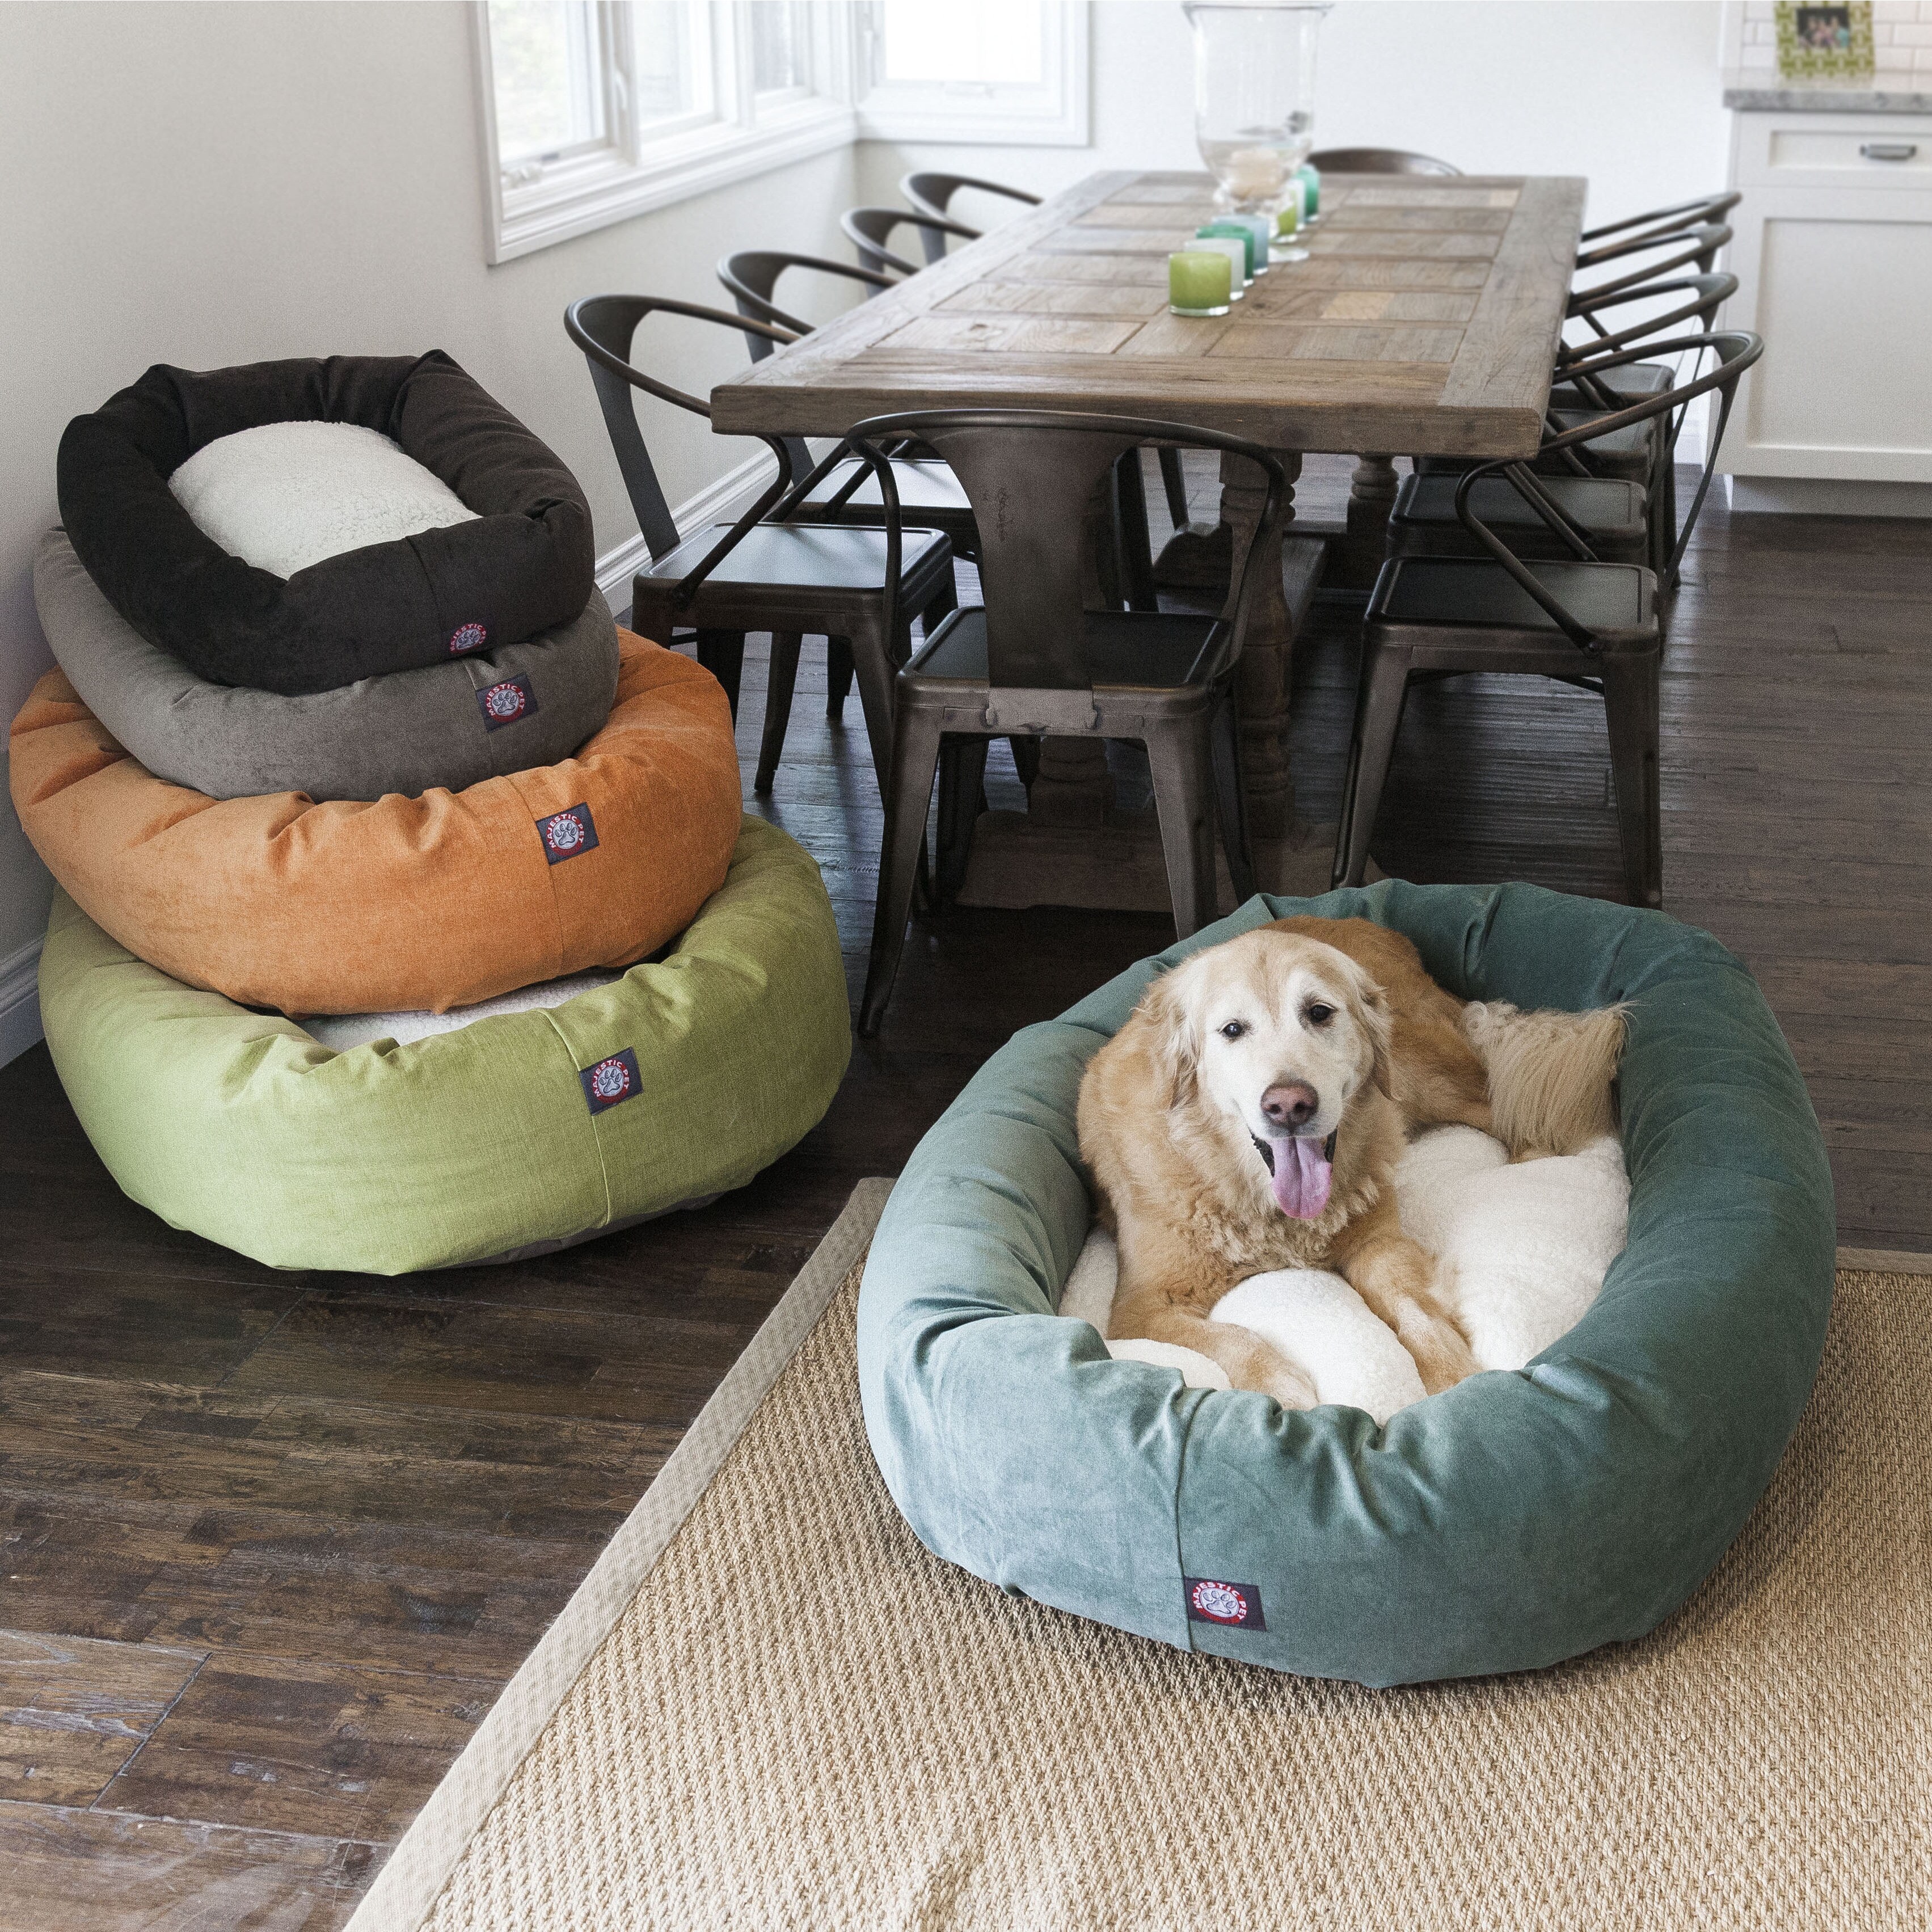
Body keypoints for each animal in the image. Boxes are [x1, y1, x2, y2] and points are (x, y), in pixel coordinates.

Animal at [1082, 919, 1623, 1406]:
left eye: (1319, 1012)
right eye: (1232, 1030)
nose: (1289, 1106)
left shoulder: (1378, 1244)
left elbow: (1416, 1313)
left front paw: (1455, 1381)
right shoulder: (1142, 1308)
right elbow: (1231, 1337)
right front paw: (1283, 1388)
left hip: (1421, 1080)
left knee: (1511, 1111)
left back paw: (1527, 1159)